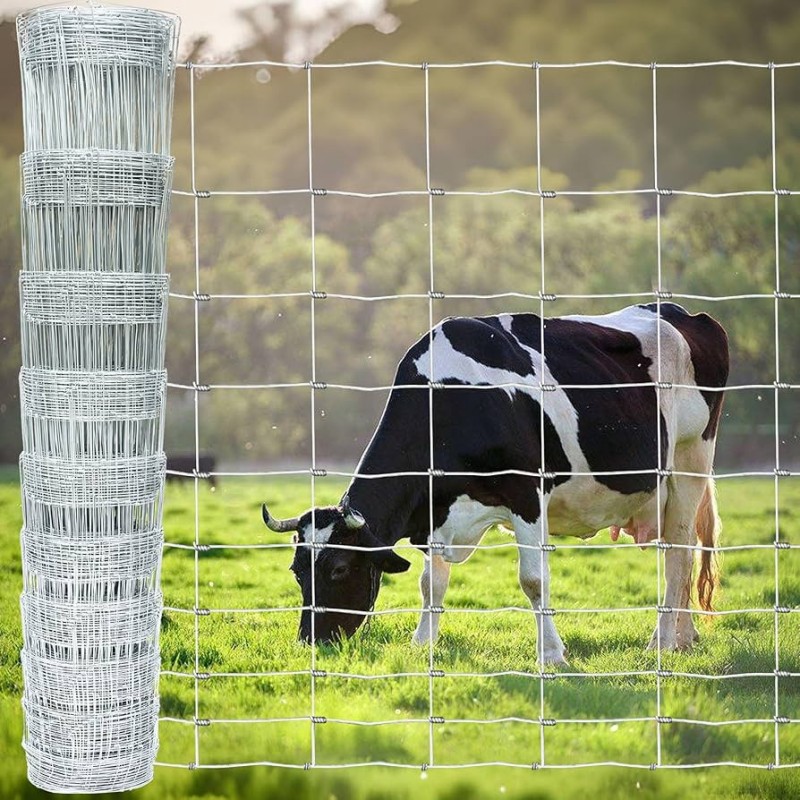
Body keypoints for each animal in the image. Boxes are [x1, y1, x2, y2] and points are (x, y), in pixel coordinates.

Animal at [262, 303, 729, 665]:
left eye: (340, 568)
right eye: (297, 570)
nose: (310, 640)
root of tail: (682, 313)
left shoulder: (527, 494)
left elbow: (534, 581)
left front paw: (552, 655)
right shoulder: (436, 512)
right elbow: (431, 584)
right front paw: (422, 643)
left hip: (690, 459)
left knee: (679, 552)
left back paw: (663, 642)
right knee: (684, 553)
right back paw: (686, 638)